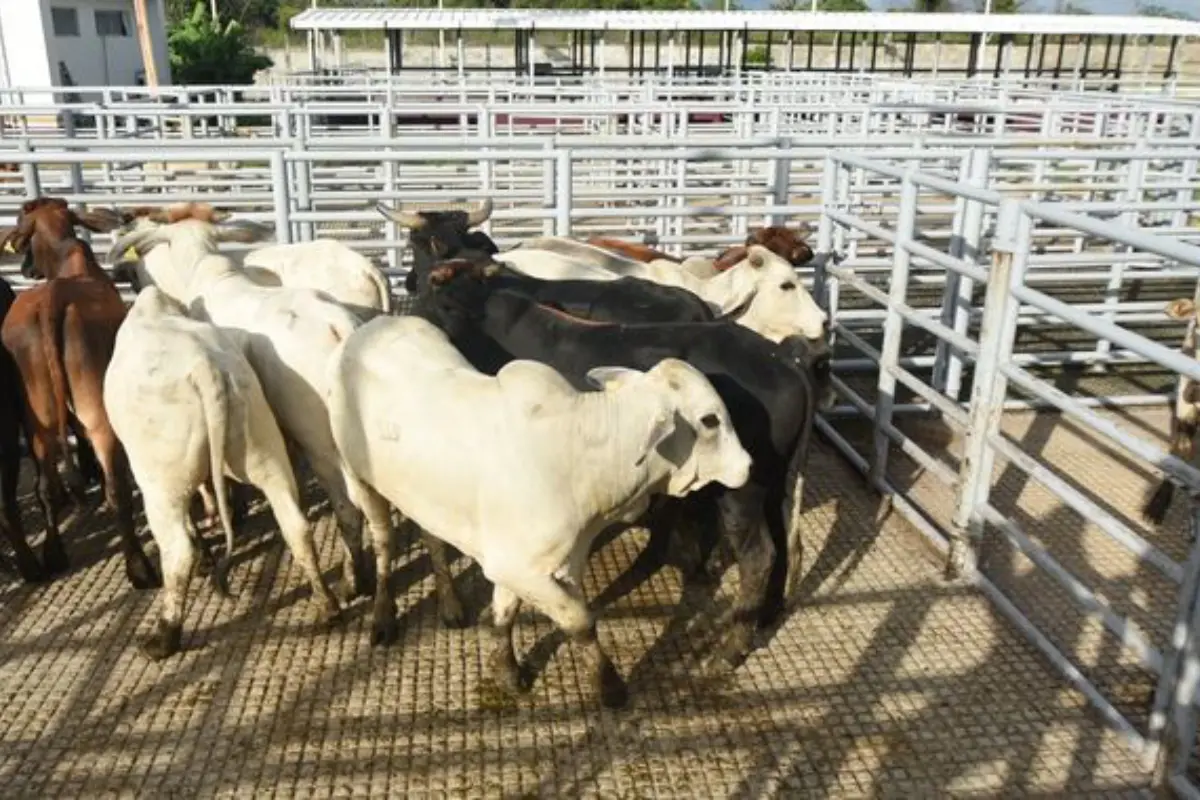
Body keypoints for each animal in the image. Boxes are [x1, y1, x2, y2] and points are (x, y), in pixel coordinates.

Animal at [0, 196, 159, 592]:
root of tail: (51, 302)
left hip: (36, 417)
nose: (24, 268)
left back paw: (51, 557)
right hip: (94, 411)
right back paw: (139, 567)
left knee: (46, 486)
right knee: (115, 490)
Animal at [106, 284, 343, 662]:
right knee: (296, 525)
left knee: (178, 549)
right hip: (262, 447)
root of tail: (207, 369)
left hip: (161, 481)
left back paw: (164, 637)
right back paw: (327, 606)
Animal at [328, 316, 748, 710]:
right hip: (358, 477)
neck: (580, 452)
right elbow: (580, 621)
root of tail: (368, 327)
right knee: (384, 539)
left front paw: (507, 670)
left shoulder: (548, 561)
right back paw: (384, 616)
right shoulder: (518, 567)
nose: (747, 465)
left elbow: (506, 611)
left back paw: (450, 603)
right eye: (710, 420)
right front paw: (609, 685)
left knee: (431, 534)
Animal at [417, 260, 830, 666]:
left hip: (740, 489)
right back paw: (766, 616)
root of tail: (783, 360)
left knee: (759, 557)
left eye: (445, 303)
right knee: (785, 544)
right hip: (775, 482)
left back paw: (731, 649)